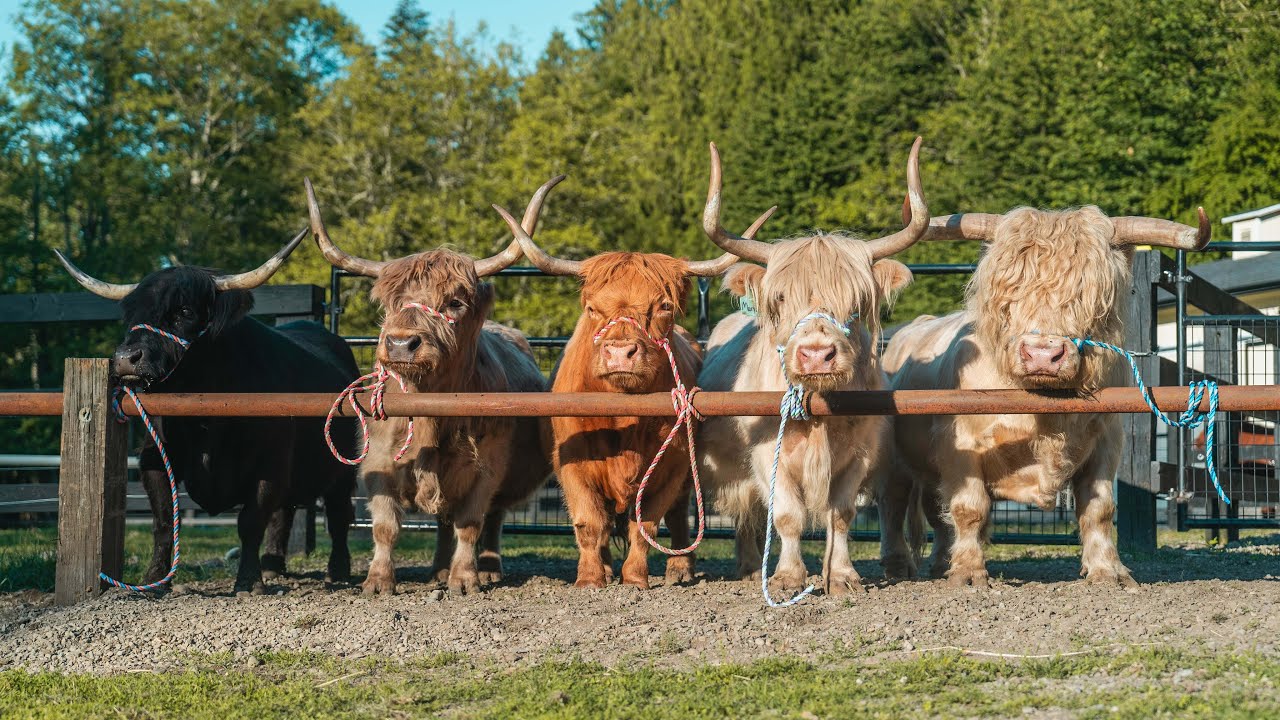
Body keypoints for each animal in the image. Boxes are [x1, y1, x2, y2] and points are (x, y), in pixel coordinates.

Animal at [55, 234, 360, 594]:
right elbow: (163, 520)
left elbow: (250, 521)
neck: (206, 421)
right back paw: (273, 565)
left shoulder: (269, 465)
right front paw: (153, 580)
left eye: (184, 311)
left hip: (344, 469)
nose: (127, 358)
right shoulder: (154, 459)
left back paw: (337, 571)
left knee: (339, 516)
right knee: (284, 514)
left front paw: (248, 582)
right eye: (131, 314)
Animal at [305, 177, 558, 595]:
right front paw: (378, 582)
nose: (401, 343)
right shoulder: (377, 464)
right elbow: (386, 527)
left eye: (455, 302)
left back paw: (488, 568)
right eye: (390, 301)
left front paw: (466, 579)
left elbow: (471, 523)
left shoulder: (487, 468)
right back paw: (438, 569)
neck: (429, 411)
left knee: (492, 518)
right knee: (442, 522)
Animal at [489, 199, 774, 589]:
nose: (620, 352)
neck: (622, 417)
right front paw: (591, 578)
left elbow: (646, 525)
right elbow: (590, 523)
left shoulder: (672, 466)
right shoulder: (570, 465)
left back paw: (680, 568)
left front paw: (636, 578)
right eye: (592, 308)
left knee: (679, 516)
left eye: (664, 306)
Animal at [696, 138, 926, 596]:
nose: (817, 353)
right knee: (746, 512)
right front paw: (787, 577)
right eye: (781, 297)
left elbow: (842, 513)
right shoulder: (767, 454)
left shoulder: (858, 456)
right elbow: (786, 514)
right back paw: (749, 567)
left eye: (857, 299)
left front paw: (842, 575)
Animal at [879, 205, 1211, 587]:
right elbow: (969, 508)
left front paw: (1108, 571)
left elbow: (1099, 509)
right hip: (895, 460)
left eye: (1088, 292)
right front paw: (969, 573)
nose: (1041, 354)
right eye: (1008, 292)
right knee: (894, 504)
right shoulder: (959, 445)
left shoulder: (1107, 441)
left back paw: (938, 564)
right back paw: (898, 567)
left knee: (935, 513)